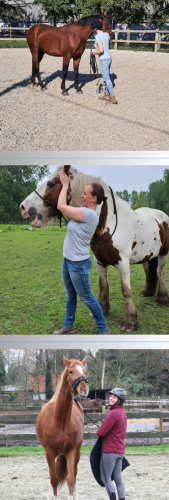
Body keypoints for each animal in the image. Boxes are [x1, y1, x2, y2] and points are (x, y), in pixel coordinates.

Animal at [35, 356, 88, 500]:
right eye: (71, 371)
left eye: (85, 371)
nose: (83, 389)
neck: (60, 419)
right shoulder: (49, 452)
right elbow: (53, 478)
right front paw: (52, 496)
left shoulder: (71, 451)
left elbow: (70, 478)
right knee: (54, 476)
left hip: (77, 451)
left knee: (74, 473)